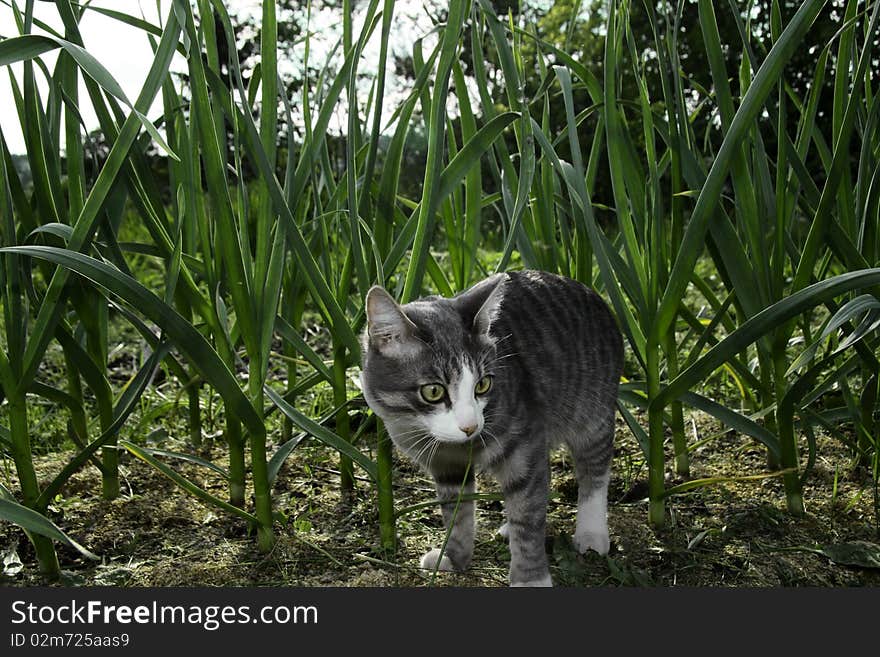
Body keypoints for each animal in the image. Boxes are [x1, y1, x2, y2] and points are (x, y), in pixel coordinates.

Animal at [360, 270, 624, 588]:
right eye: (433, 392)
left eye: (482, 385)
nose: (470, 426)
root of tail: (587, 290)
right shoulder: (446, 464)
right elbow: (457, 513)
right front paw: (455, 557)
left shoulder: (524, 444)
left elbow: (527, 515)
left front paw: (531, 578)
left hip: (592, 406)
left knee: (594, 468)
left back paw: (591, 531)